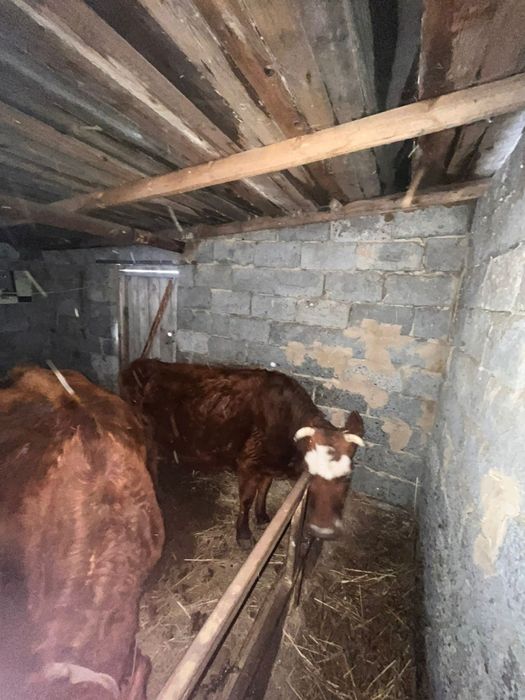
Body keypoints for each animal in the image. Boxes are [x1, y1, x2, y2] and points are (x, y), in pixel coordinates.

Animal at [120, 359, 364, 548]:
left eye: (348, 478)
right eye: (310, 476)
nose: (324, 532)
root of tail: (142, 363)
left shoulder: (267, 466)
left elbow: (264, 490)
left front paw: (263, 517)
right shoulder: (248, 463)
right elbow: (246, 499)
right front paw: (244, 534)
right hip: (146, 432)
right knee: (151, 461)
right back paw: (157, 491)